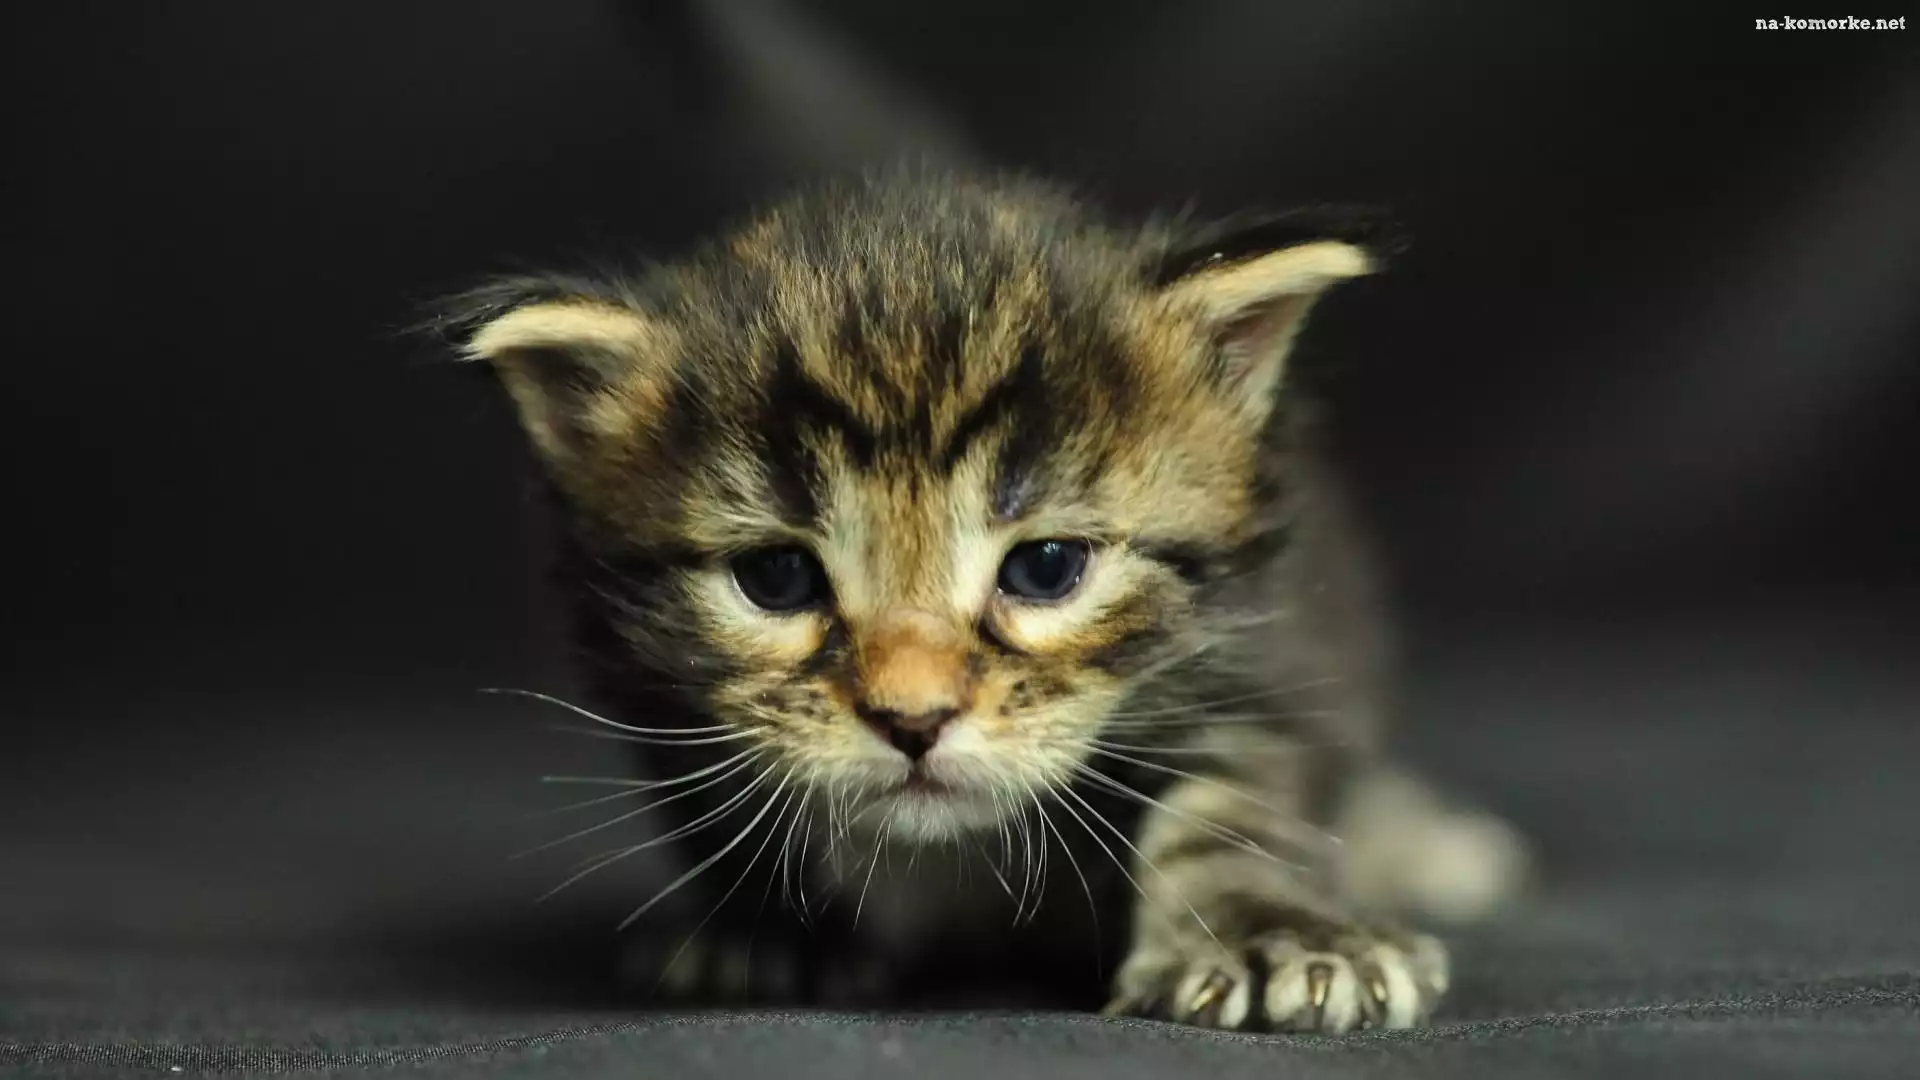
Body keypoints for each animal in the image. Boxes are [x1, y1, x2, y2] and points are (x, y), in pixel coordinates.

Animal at [437, 171, 1526, 1033]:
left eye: (1044, 569)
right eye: (777, 579)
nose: (913, 719)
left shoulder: (1273, 650)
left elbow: (1238, 803)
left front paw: (1274, 937)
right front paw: (769, 931)